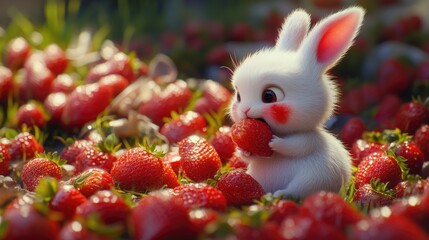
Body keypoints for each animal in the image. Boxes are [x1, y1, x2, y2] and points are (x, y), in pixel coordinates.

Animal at [229, 7, 362, 199]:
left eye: (269, 96)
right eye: (238, 95)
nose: (245, 110)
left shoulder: (309, 138)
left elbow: (297, 145)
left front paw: (274, 143)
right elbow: (249, 157)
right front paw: (244, 150)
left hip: (310, 180)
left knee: (295, 190)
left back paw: (277, 195)